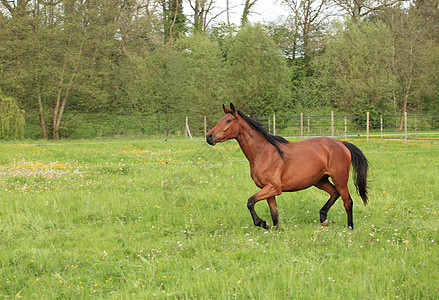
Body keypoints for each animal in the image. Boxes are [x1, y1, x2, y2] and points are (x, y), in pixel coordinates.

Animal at [207, 103, 372, 230]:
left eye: (228, 120)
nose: (209, 136)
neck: (263, 153)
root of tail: (342, 143)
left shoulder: (274, 188)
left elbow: (250, 202)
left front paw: (262, 223)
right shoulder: (268, 190)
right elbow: (274, 213)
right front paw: (274, 230)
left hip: (340, 179)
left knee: (347, 201)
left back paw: (349, 228)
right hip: (320, 180)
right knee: (334, 193)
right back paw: (323, 218)